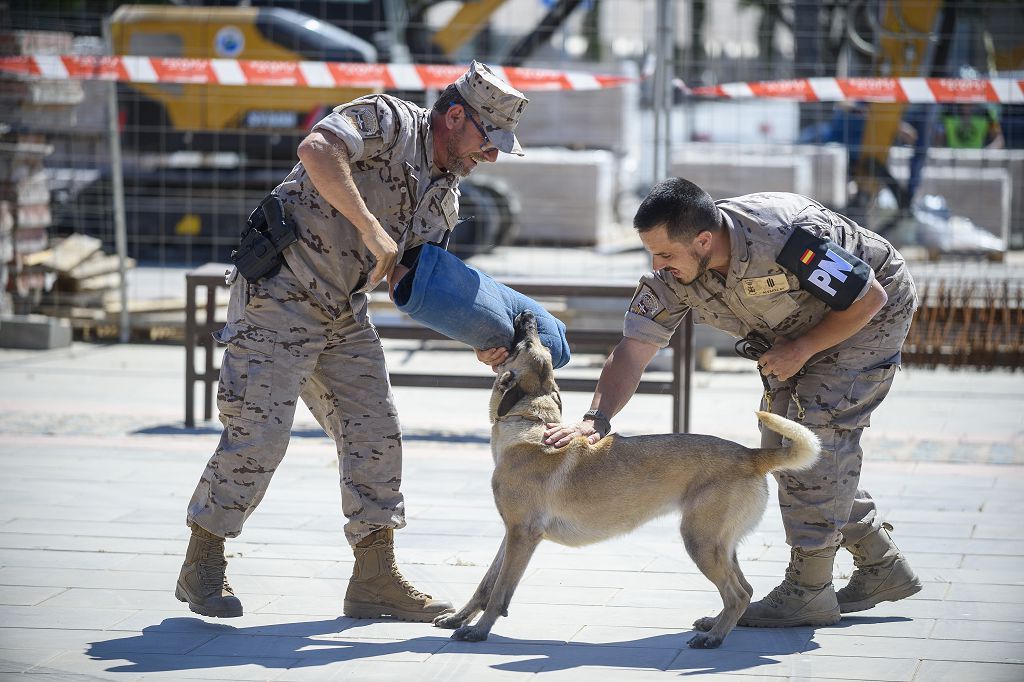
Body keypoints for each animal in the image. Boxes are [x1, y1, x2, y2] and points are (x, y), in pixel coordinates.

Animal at [434, 311, 823, 647]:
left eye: (525, 345)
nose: (527, 315)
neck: (531, 422)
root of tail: (750, 454)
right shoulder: (511, 534)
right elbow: (486, 584)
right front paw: (460, 619)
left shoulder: (522, 535)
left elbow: (500, 591)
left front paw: (479, 630)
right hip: (719, 545)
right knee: (743, 589)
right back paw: (715, 624)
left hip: (700, 541)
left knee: (738, 593)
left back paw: (713, 638)